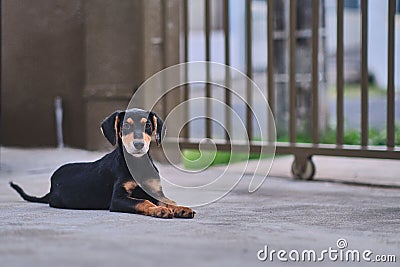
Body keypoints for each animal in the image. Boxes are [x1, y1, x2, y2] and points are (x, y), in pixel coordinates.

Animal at [10, 109, 195, 220]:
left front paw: (181, 208)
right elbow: (143, 201)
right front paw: (158, 210)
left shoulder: (154, 191)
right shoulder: (118, 199)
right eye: (125, 125)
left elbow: (165, 201)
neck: (137, 164)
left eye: (148, 125)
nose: (139, 145)